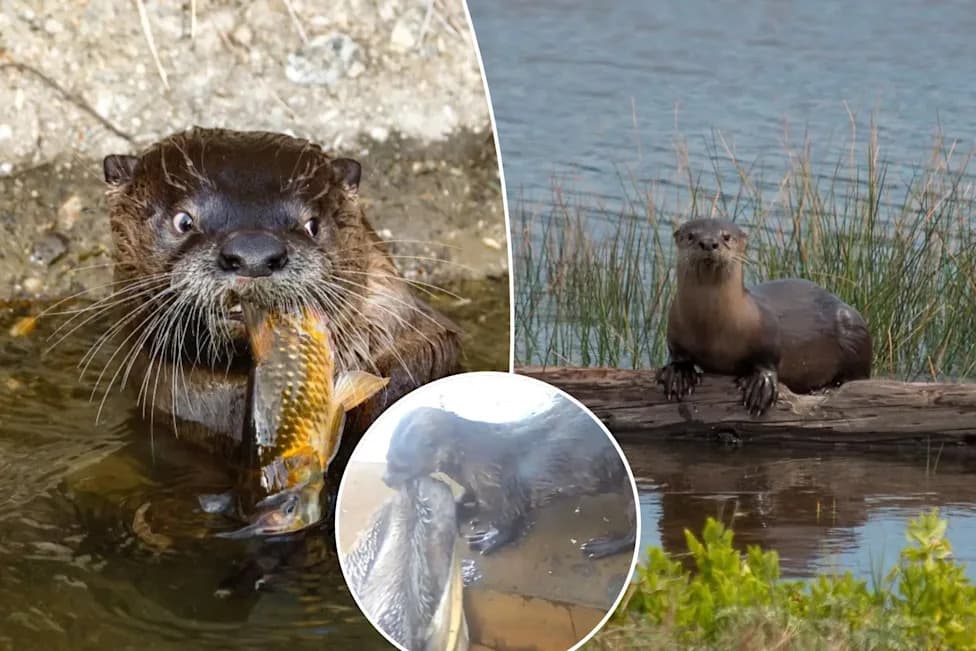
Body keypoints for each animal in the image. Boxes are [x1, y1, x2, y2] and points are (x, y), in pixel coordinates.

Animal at [382, 405, 637, 559]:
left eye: (399, 464)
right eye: (386, 456)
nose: (385, 479)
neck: (473, 457)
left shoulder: (500, 485)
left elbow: (510, 519)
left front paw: (487, 538)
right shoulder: (477, 483)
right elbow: (468, 496)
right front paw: (457, 506)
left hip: (625, 484)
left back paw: (603, 546)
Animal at [659, 218, 872, 416]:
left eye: (726, 236)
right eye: (690, 236)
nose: (709, 243)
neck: (710, 328)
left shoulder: (768, 333)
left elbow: (769, 360)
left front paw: (761, 385)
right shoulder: (676, 332)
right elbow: (678, 355)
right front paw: (679, 373)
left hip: (854, 327)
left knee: (858, 376)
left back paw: (826, 388)